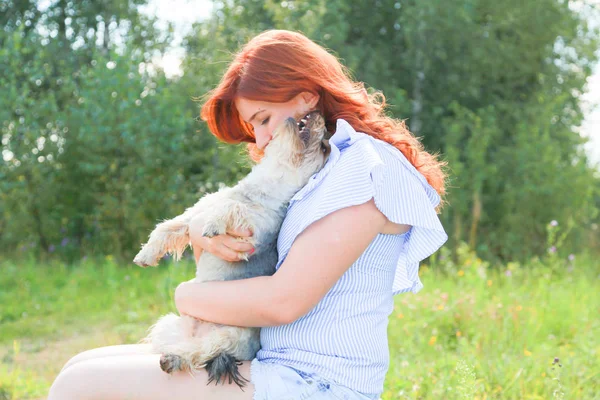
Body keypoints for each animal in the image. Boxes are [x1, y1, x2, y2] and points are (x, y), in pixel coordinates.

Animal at [132, 109, 330, 388]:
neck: (261, 187)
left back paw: (175, 359)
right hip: (167, 324)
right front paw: (146, 253)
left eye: (323, 147)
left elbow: (232, 208)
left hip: (230, 337)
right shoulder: (195, 214)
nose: (317, 114)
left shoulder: (253, 232)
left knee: (202, 352)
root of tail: (193, 335)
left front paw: (215, 223)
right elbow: (168, 227)